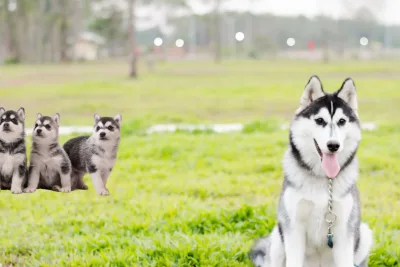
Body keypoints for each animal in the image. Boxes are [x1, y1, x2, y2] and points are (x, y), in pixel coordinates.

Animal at [248, 76, 374, 267]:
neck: (324, 179)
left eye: (342, 121)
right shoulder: (293, 228)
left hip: (363, 233)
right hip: (278, 237)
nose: (333, 145)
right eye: (320, 120)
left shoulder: (344, 232)